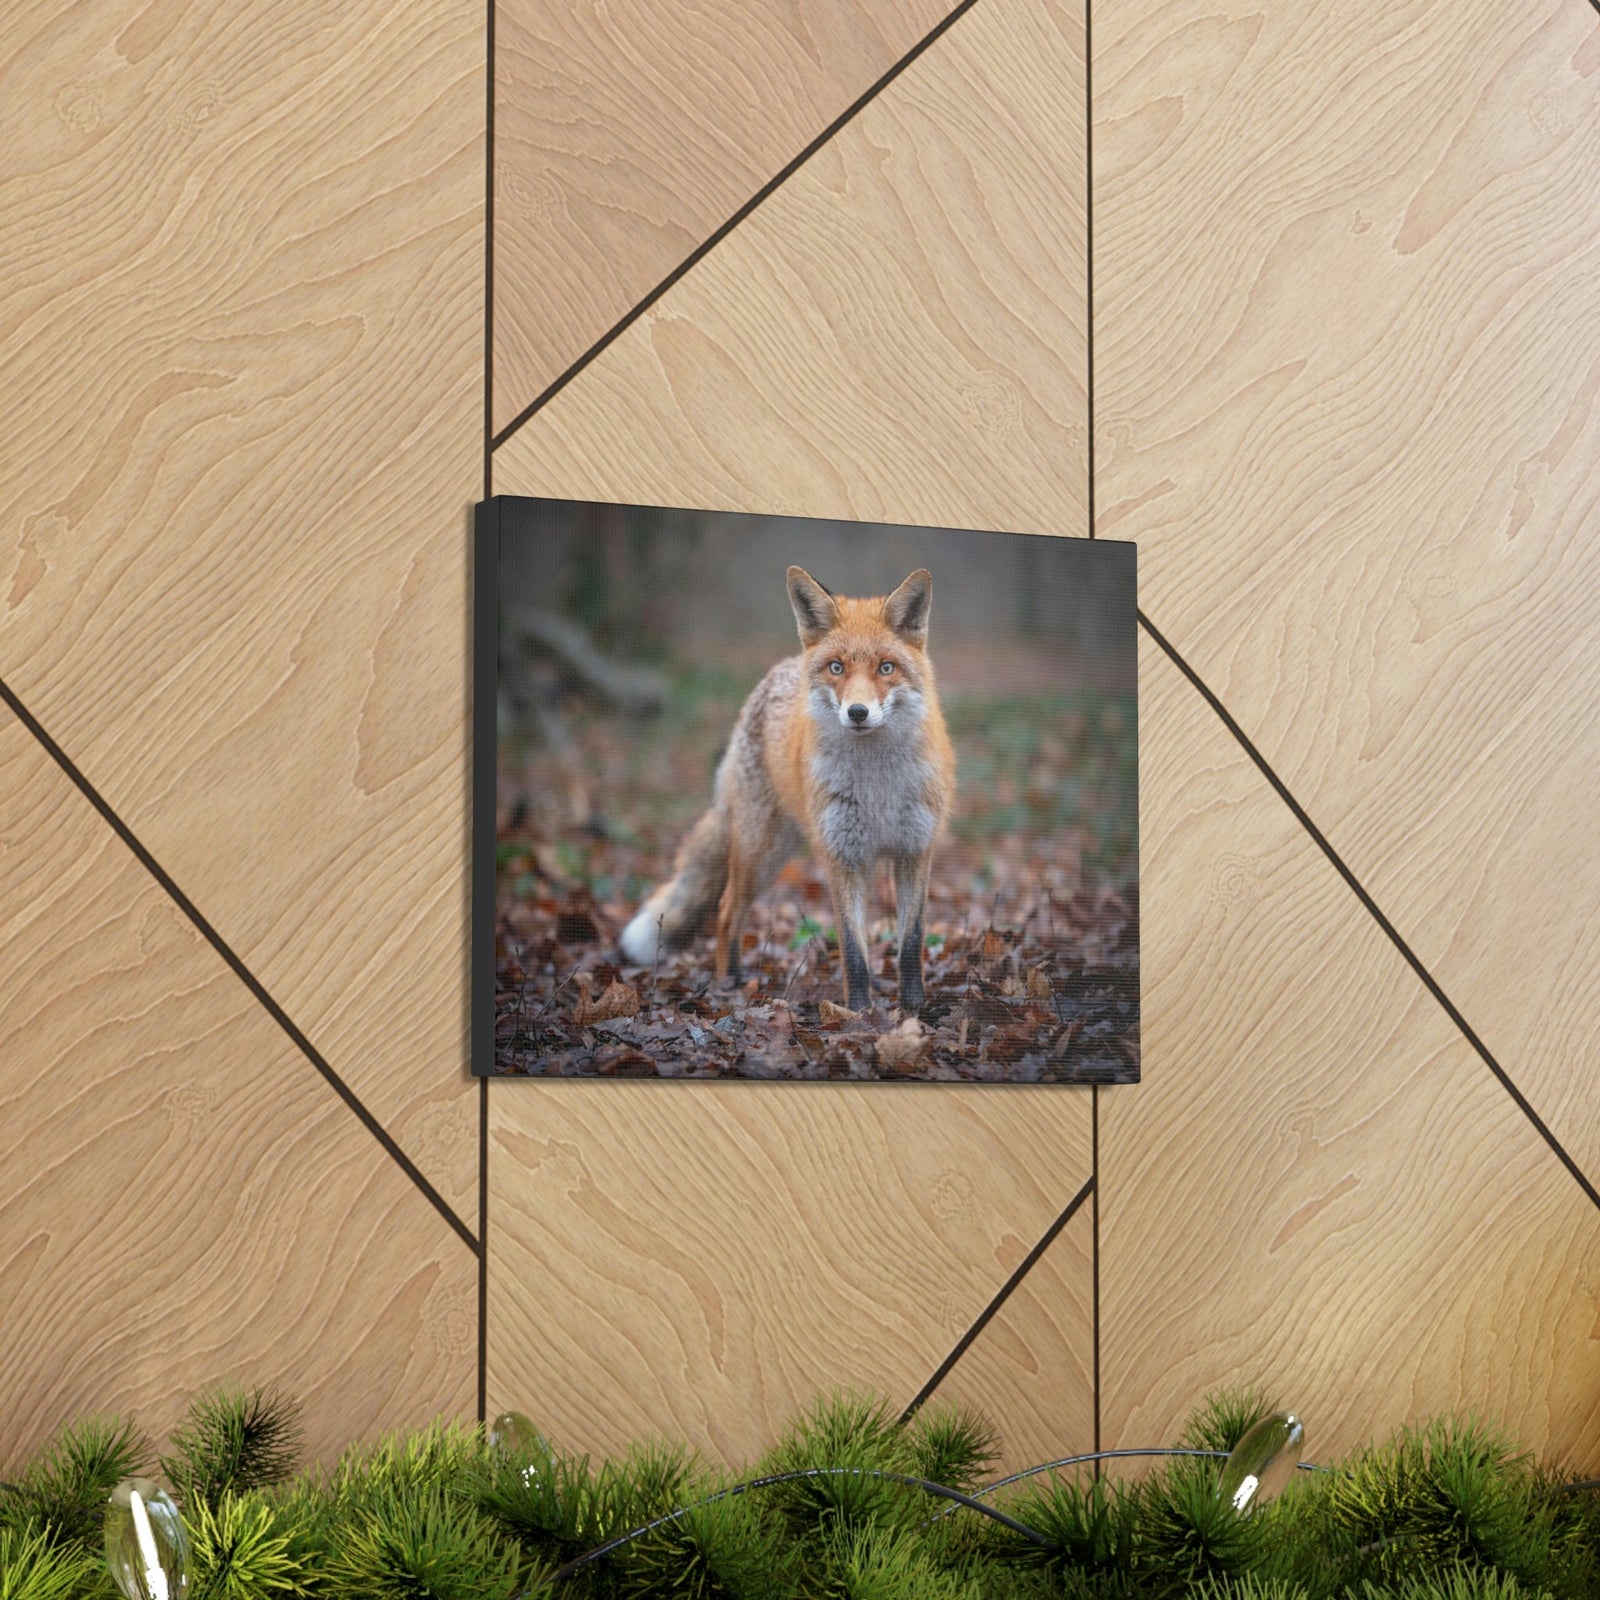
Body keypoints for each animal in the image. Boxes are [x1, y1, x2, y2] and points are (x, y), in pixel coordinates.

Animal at [619, 565, 956, 1013]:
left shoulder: (915, 851)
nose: (858, 712)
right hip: (760, 852)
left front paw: (914, 1008)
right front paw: (859, 1013)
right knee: (726, 912)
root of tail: (778, 670)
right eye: (836, 668)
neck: (877, 787)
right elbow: (853, 949)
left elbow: (911, 942)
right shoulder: (842, 856)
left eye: (886, 668)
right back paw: (730, 985)